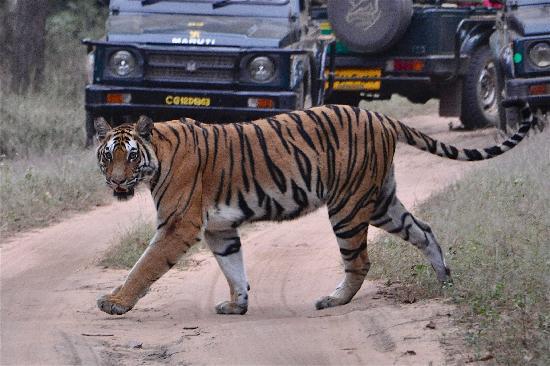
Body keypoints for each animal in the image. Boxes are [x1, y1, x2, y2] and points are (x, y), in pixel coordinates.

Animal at [92, 101, 536, 316]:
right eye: (108, 157)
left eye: (131, 157)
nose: (115, 182)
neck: (158, 156)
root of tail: (381, 116)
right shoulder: (220, 230)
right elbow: (233, 268)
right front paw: (237, 305)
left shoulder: (178, 225)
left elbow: (144, 266)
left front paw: (116, 302)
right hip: (381, 202)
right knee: (423, 230)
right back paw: (445, 280)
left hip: (348, 205)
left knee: (360, 261)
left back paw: (333, 300)